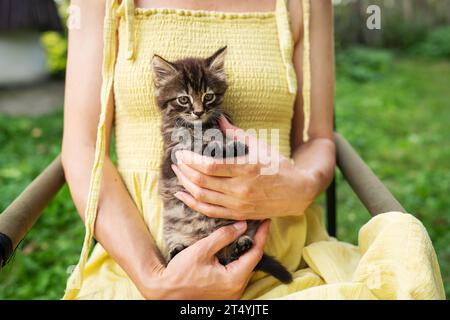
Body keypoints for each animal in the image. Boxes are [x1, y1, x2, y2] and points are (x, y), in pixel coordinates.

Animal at [151, 46, 292, 284]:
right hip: (173, 229)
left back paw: (241, 246)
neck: (199, 126)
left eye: (208, 96)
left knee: (233, 255)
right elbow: (202, 147)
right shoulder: (176, 150)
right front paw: (234, 147)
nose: (198, 111)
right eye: (183, 99)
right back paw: (178, 250)